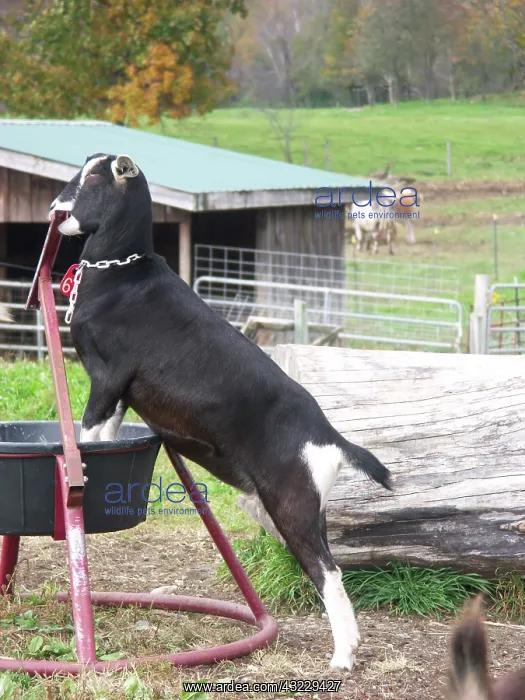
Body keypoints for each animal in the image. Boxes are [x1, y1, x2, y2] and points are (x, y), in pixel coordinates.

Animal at [49, 153, 392, 671]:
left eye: (93, 176)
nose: (55, 209)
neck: (123, 275)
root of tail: (331, 438)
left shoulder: (107, 377)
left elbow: (87, 433)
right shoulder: (121, 393)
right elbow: (106, 432)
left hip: (292, 506)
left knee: (328, 572)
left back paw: (343, 658)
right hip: (295, 508)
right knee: (328, 567)